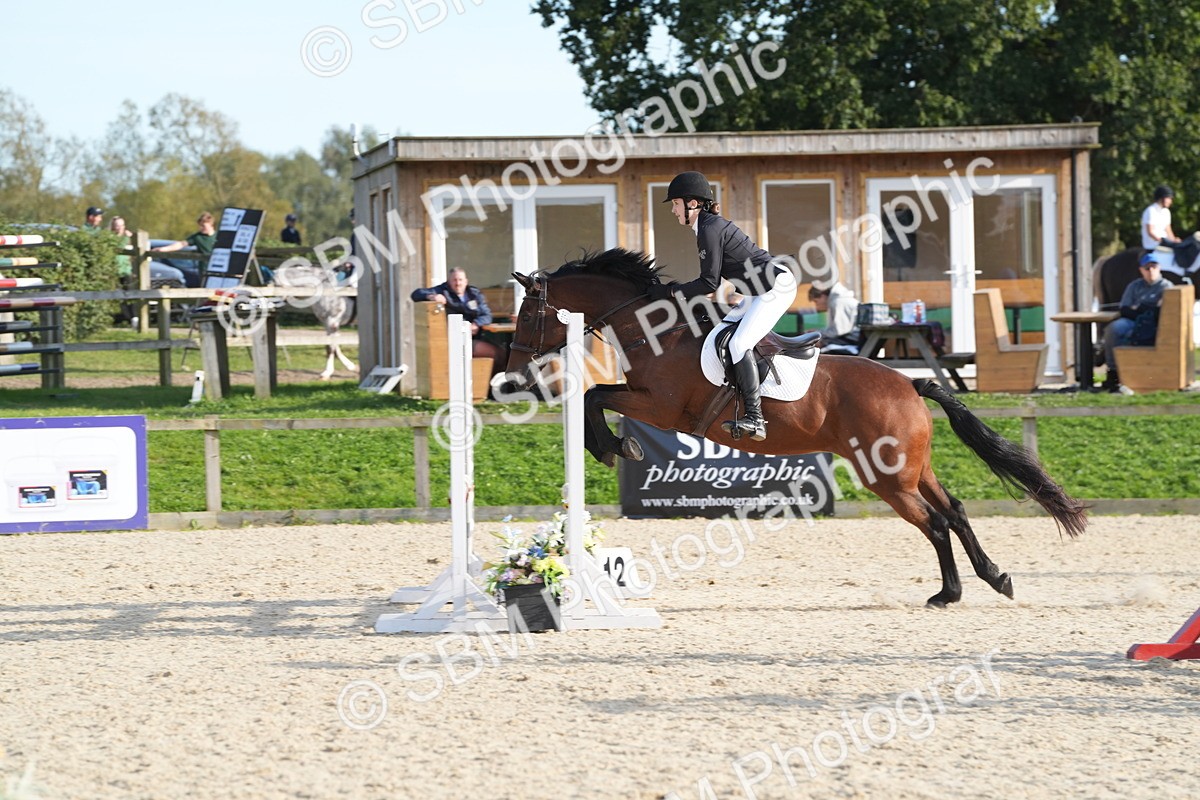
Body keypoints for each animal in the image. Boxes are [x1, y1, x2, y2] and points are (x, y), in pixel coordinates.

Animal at [503, 248, 1089, 608]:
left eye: (527, 315)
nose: (511, 377)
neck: (655, 330)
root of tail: (911, 385)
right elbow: (593, 395)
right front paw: (613, 445)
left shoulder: (661, 408)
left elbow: (593, 396)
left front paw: (613, 447)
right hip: (910, 469)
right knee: (957, 512)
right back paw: (994, 578)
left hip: (888, 478)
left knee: (936, 523)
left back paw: (950, 593)